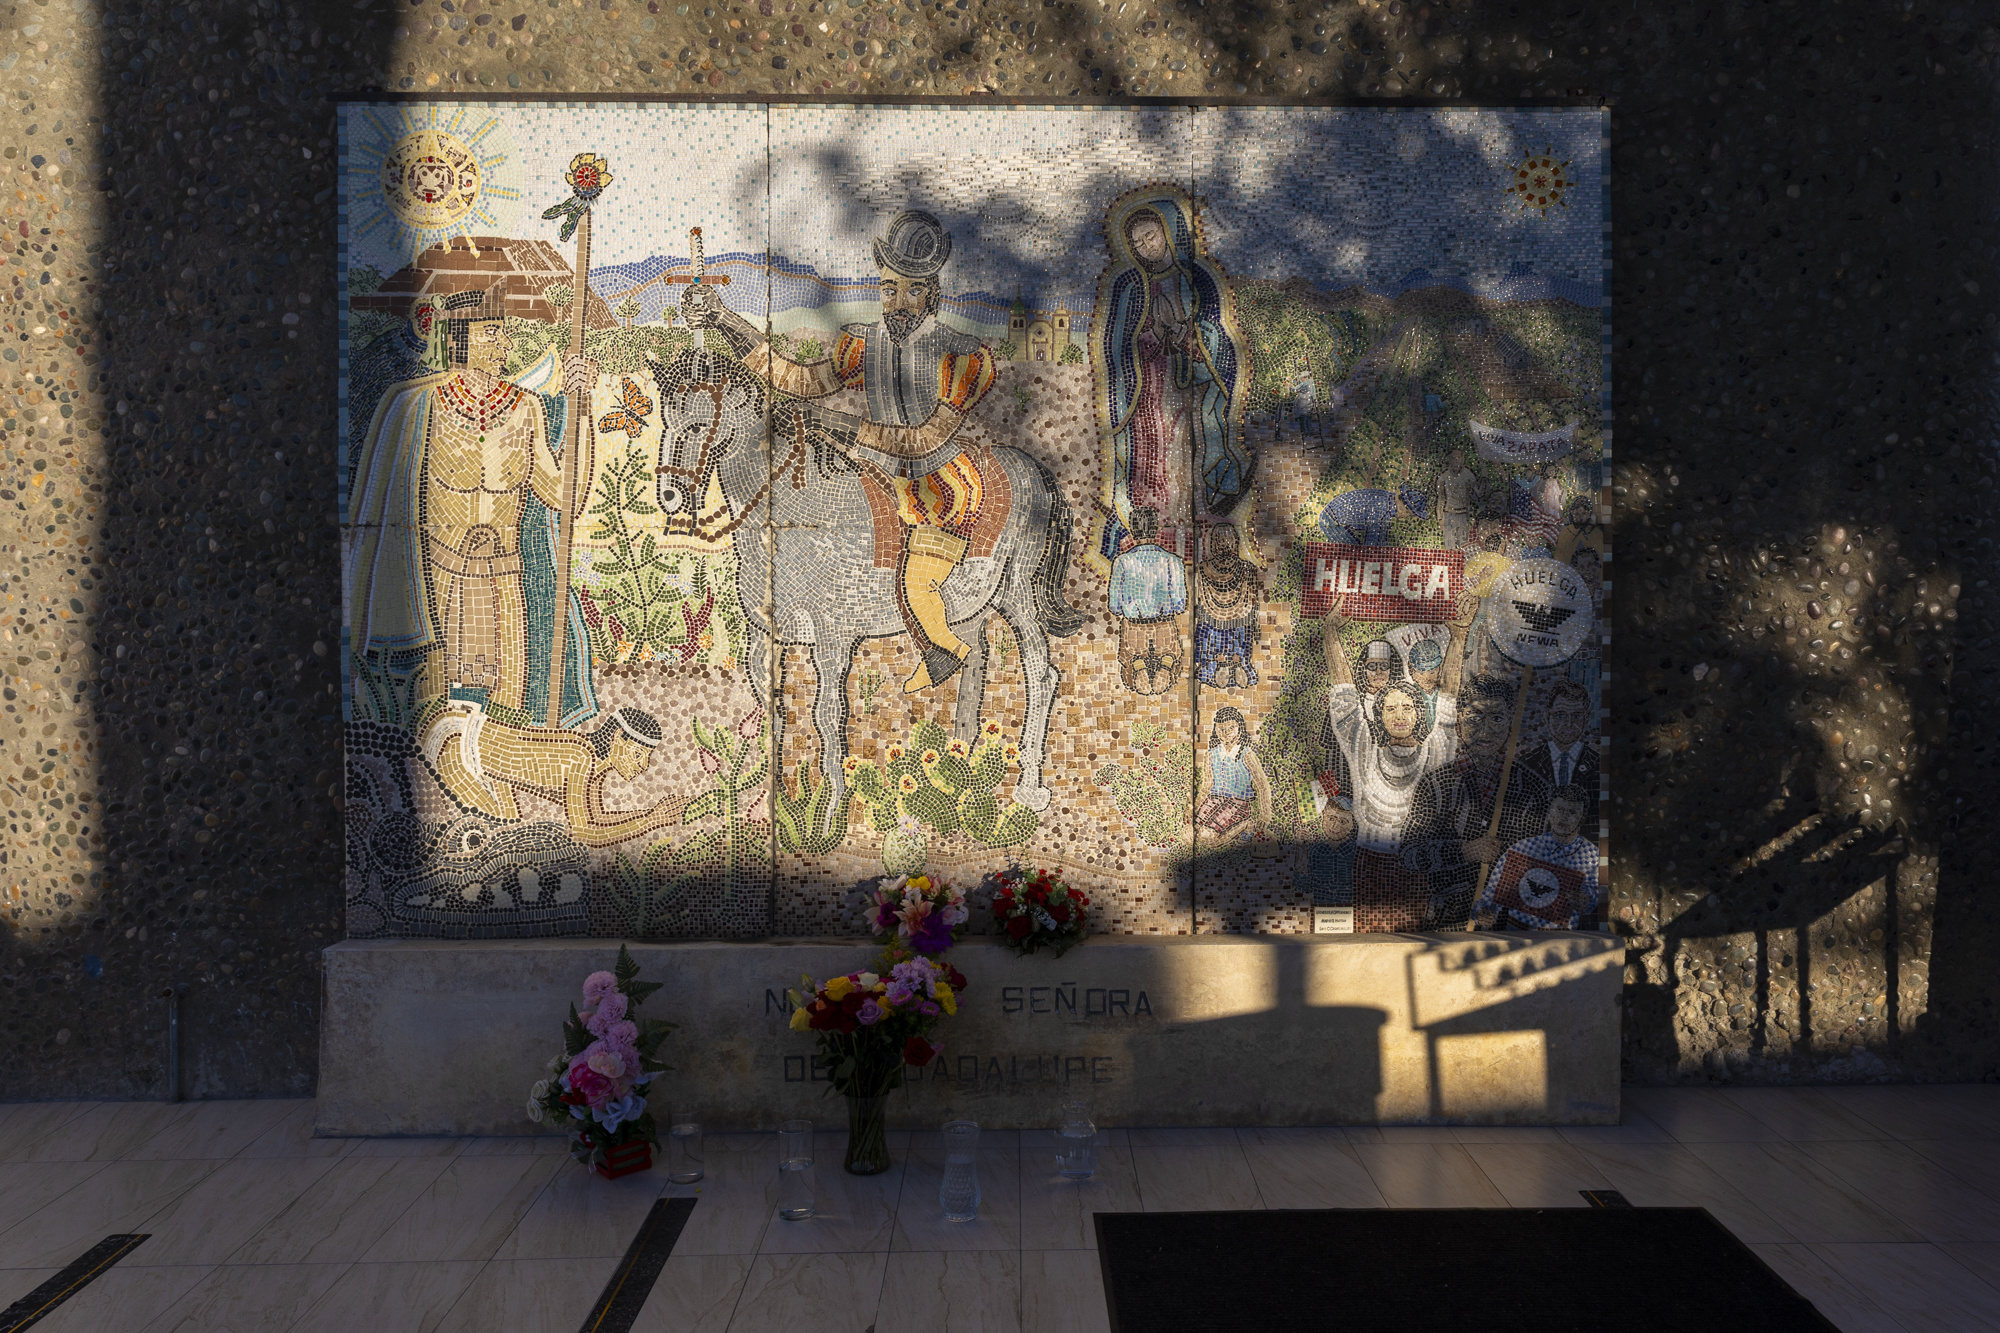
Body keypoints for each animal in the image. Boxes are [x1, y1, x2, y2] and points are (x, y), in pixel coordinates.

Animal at [645, 342, 1085, 838]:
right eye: (666, 419)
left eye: (698, 425)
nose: (670, 497)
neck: (794, 519)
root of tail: (1033, 469)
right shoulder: (763, 641)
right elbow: (772, 711)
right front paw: (772, 804)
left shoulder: (833, 641)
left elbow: (827, 715)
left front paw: (831, 813)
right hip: (968, 606)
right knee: (974, 664)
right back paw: (958, 765)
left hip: (1018, 595)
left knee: (1041, 675)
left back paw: (1029, 789)